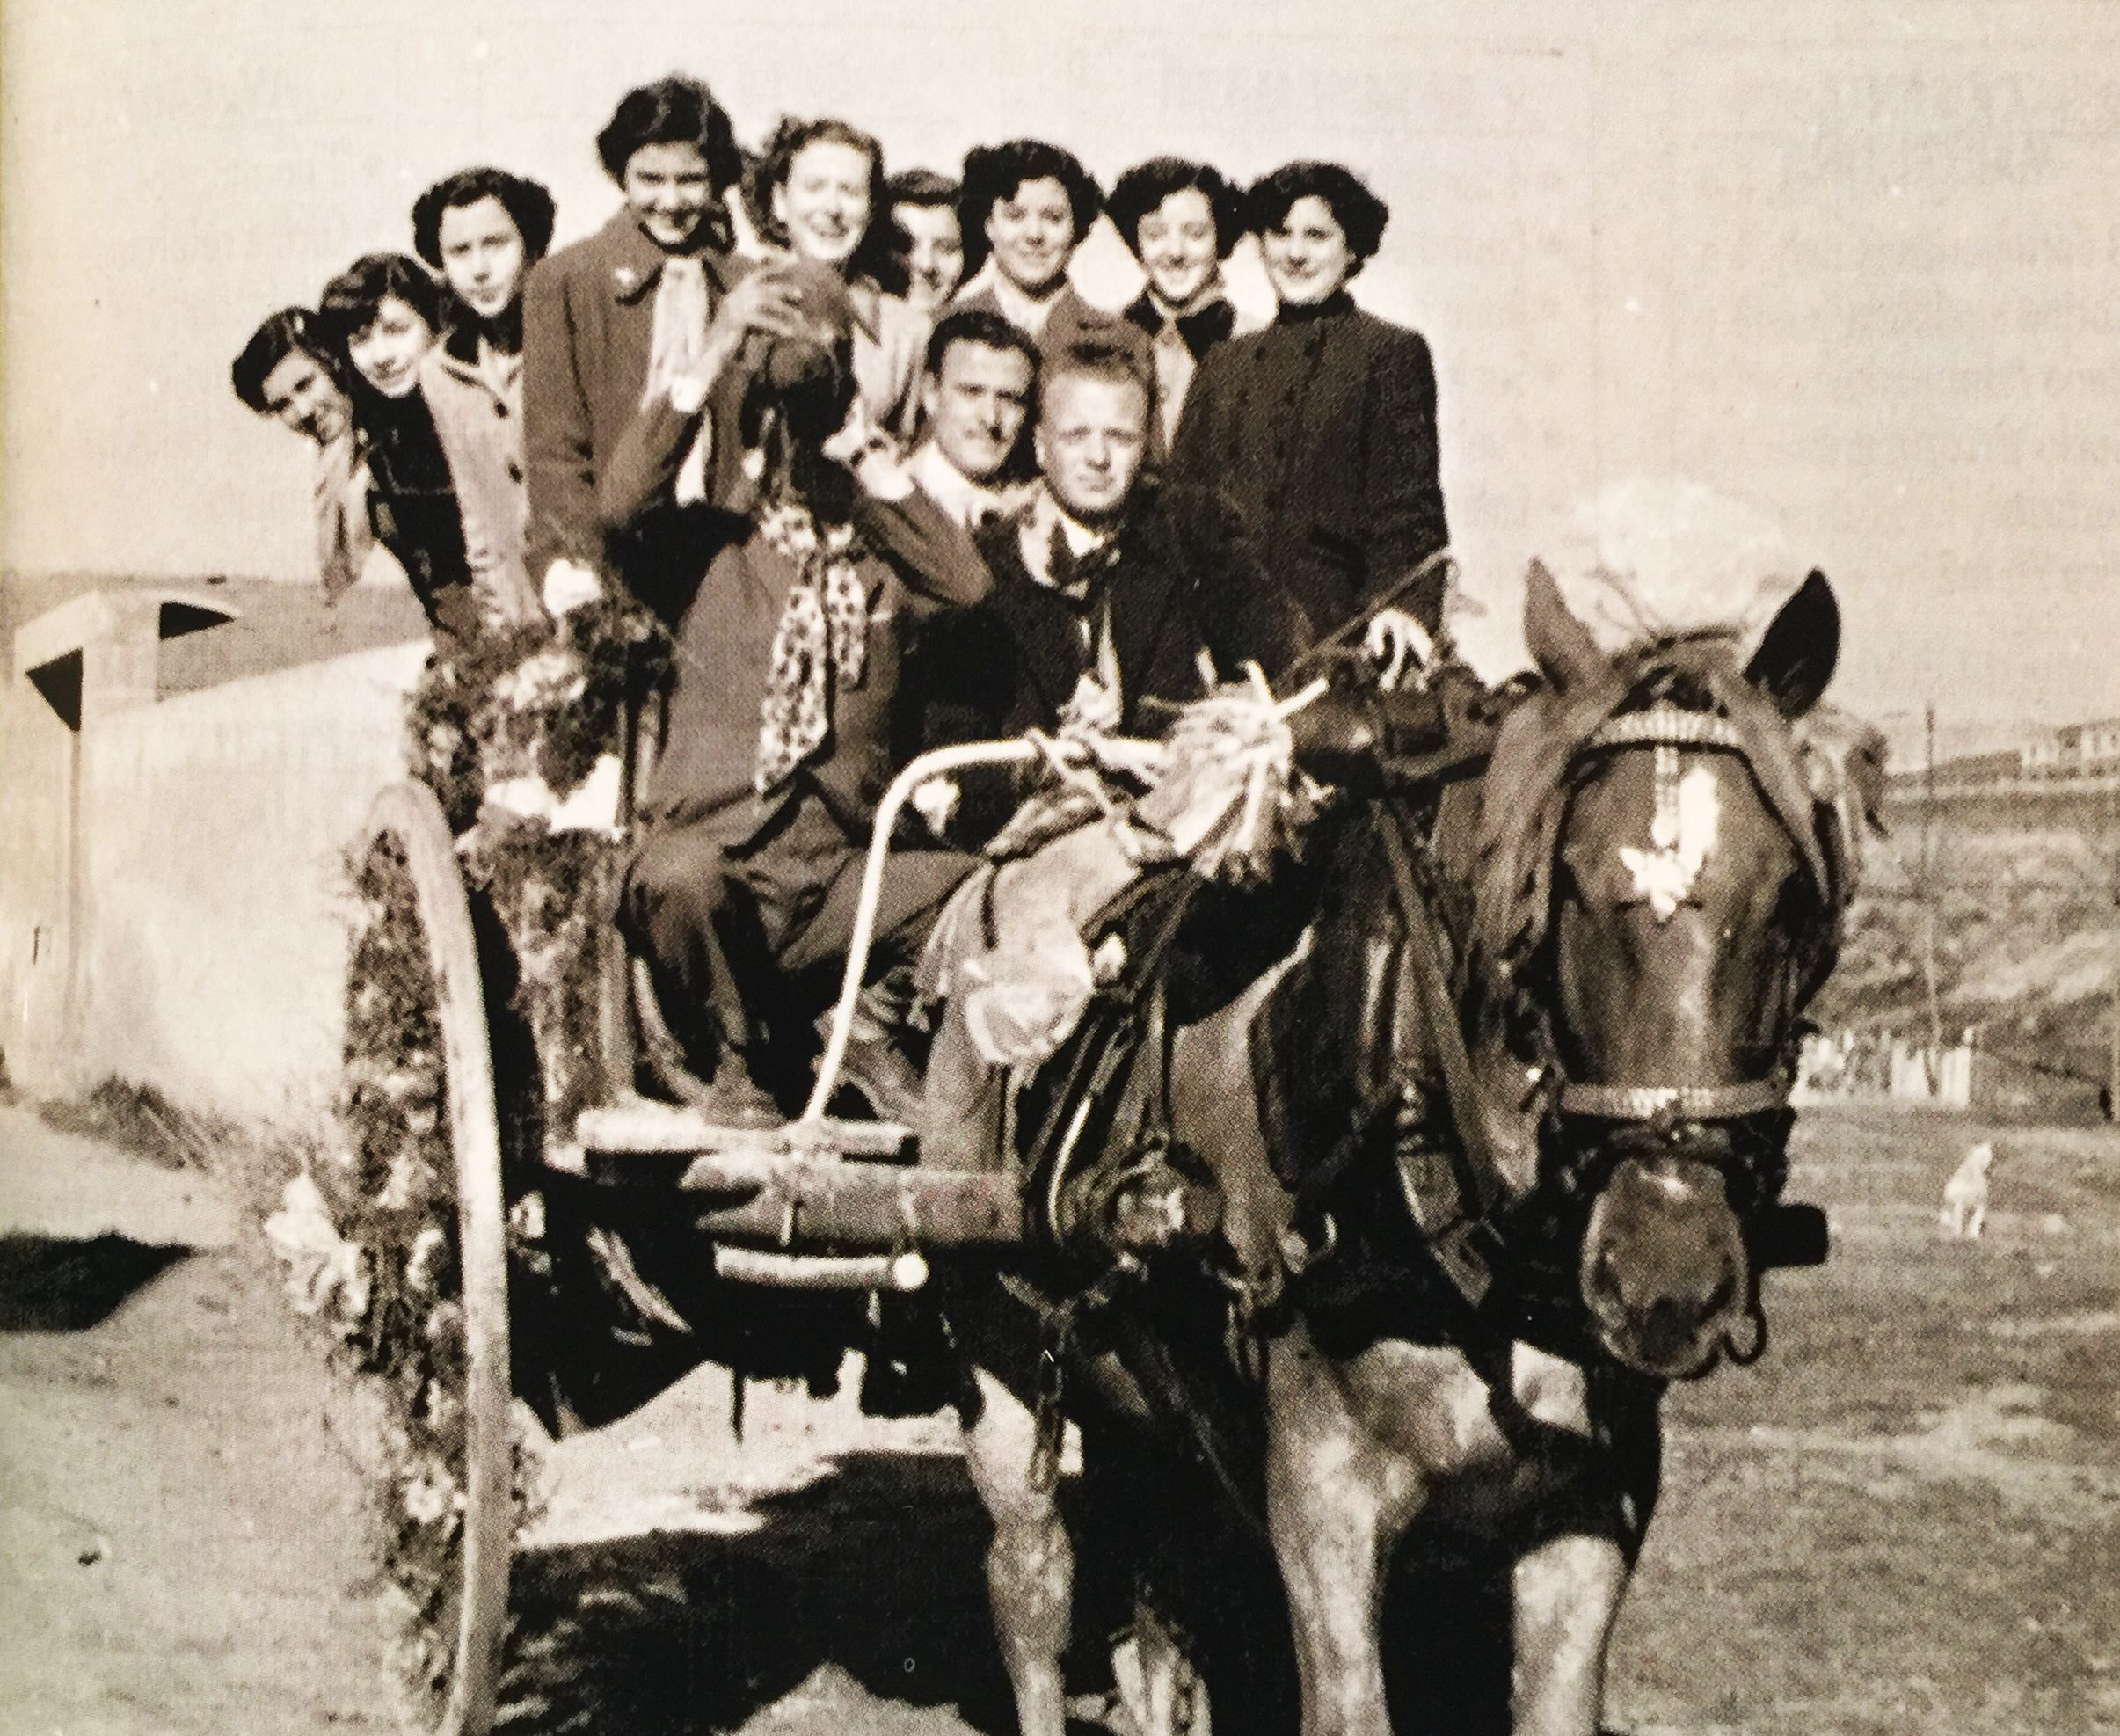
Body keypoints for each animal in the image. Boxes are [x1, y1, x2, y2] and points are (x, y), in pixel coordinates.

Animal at [953, 559, 1848, 1736]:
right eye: (1563, 884)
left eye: (1790, 897)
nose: (1664, 1276)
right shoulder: (1318, 1497)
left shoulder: (1593, 1507)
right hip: (1000, 1356)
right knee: (1029, 1588)